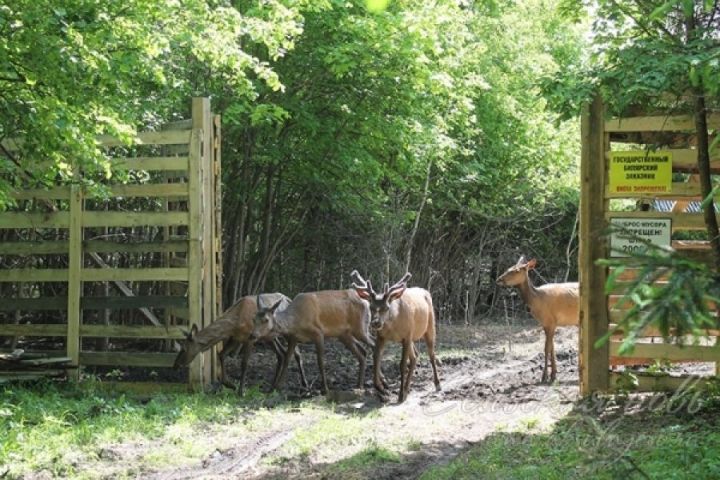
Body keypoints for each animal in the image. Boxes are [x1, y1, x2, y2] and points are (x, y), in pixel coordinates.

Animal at [177, 292, 310, 394]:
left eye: (184, 348)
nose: (176, 364)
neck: (235, 323)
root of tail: (288, 298)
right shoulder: (235, 338)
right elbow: (221, 354)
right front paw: (229, 384)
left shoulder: (250, 338)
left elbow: (244, 363)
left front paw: (241, 391)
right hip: (269, 338)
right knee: (281, 354)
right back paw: (272, 387)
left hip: (287, 333)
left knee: (296, 354)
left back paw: (304, 385)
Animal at [352, 270, 442, 402]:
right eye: (371, 307)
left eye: (386, 307)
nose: (376, 323)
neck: (393, 327)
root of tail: (425, 291)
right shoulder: (382, 337)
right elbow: (376, 358)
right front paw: (382, 389)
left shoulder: (406, 336)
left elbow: (402, 364)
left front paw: (400, 395)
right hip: (412, 336)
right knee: (415, 357)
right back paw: (407, 388)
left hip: (429, 326)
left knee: (431, 354)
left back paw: (437, 384)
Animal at [496, 256, 580, 384]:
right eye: (508, 268)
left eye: (516, 270)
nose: (499, 279)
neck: (538, 301)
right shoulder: (546, 323)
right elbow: (552, 348)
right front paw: (553, 375)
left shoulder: (551, 322)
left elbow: (546, 349)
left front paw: (544, 377)